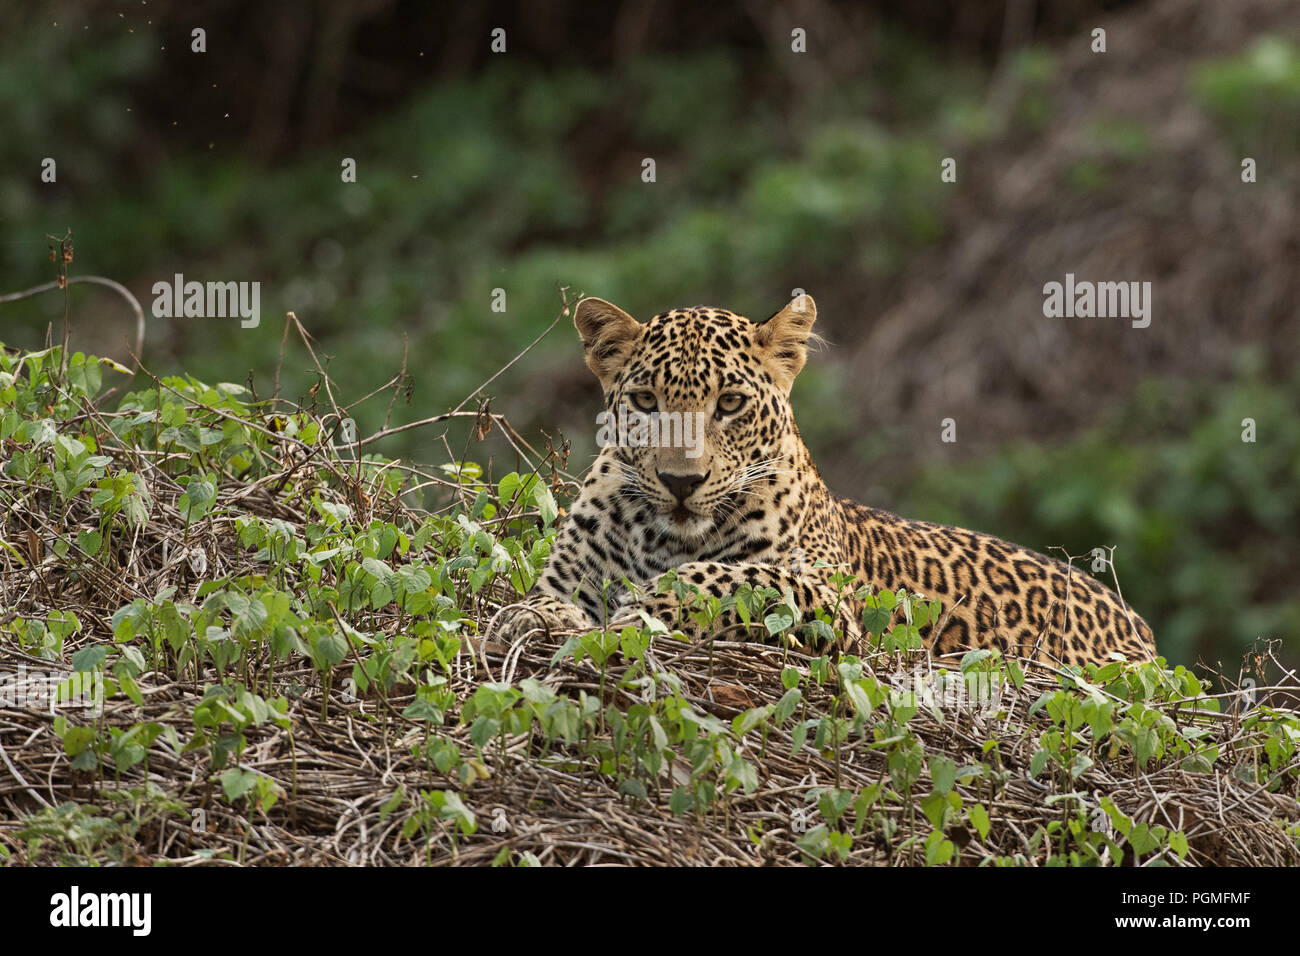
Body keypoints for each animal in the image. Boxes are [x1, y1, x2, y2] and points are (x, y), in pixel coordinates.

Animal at [488, 295, 1159, 671]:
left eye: (729, 403)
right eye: (647, 402)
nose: (682, 482)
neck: (666, 537)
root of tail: (1141, 626)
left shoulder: (829, 601)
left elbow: (725, 577)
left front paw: (640, 609)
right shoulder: (570, 576)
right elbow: (543, 600)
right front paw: (527, 619)